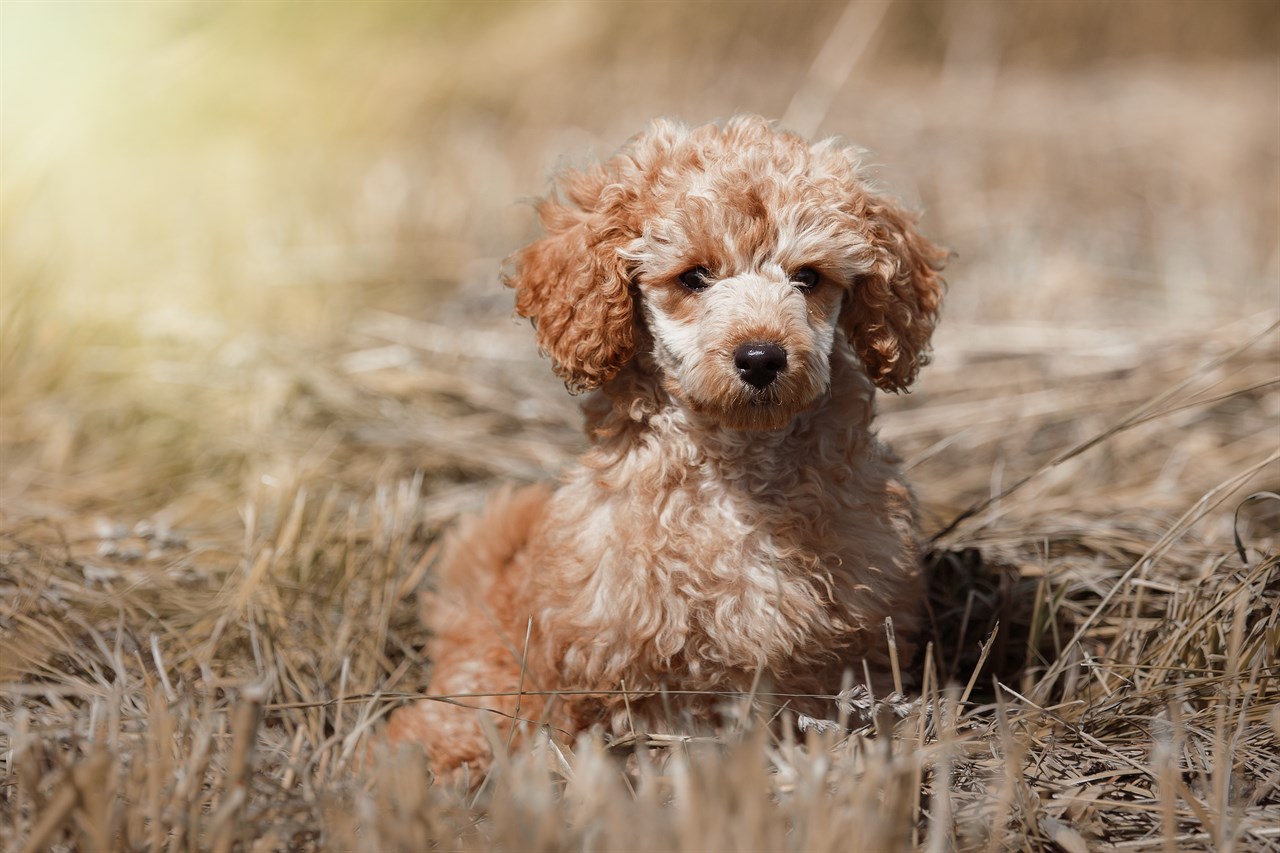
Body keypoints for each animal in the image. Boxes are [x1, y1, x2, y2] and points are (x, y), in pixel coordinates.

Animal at [389, 114, 952, 778]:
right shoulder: (628, 662)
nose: (761, 357)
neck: (737, 468)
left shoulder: (846, 646)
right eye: (694, 277)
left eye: (808, 277)